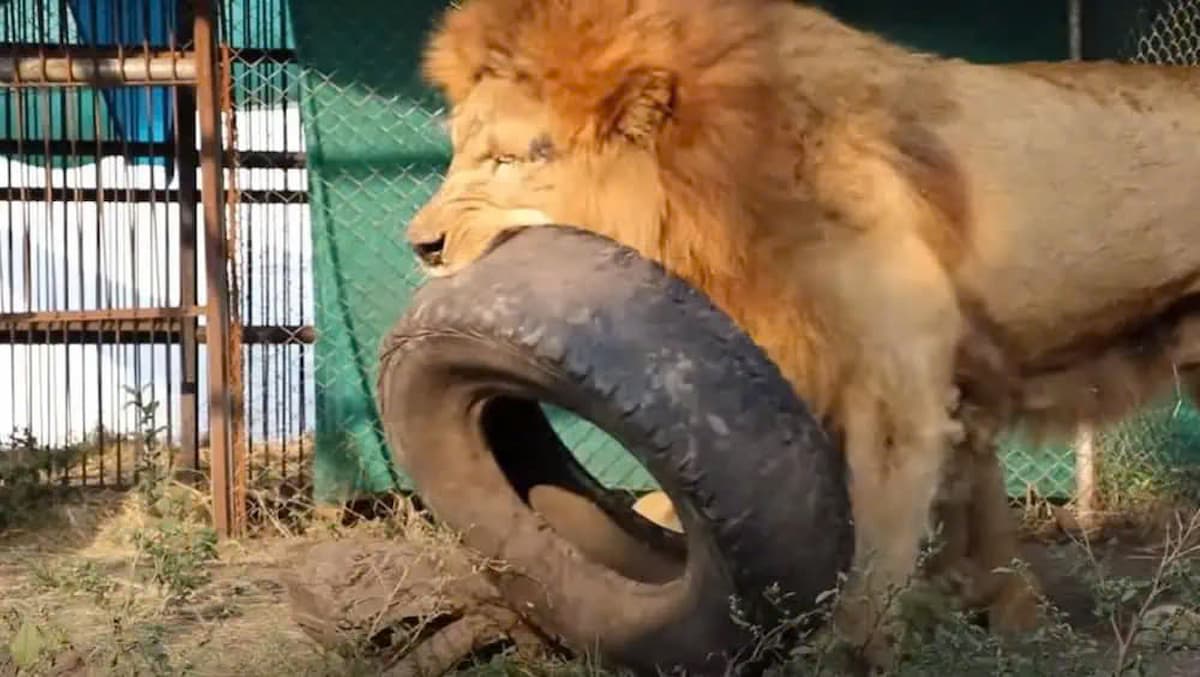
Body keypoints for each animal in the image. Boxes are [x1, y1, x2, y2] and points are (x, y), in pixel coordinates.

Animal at [403, 0, 1200, 667]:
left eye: (509, 158)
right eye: (457, 151)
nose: (420, 244)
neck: (715, 193)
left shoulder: (898, 393)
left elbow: (875, 552)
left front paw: (849, 652)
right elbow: (979, 517)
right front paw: (1007, 619)